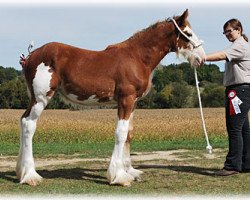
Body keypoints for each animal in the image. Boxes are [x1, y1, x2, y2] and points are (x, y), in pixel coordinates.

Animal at [16, 9, 205, 187]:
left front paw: (131, 171)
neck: (136, 57)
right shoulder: (125, 100)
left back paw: (21, 172)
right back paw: (30, 176)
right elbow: (120, 133)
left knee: (23, 120)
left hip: (35, 99)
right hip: (41, 98)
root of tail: (30, 56)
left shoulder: (133, 103)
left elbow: (129, 133)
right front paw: (119, 176)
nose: (201, 58)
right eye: (188, 33)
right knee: (29, 125)